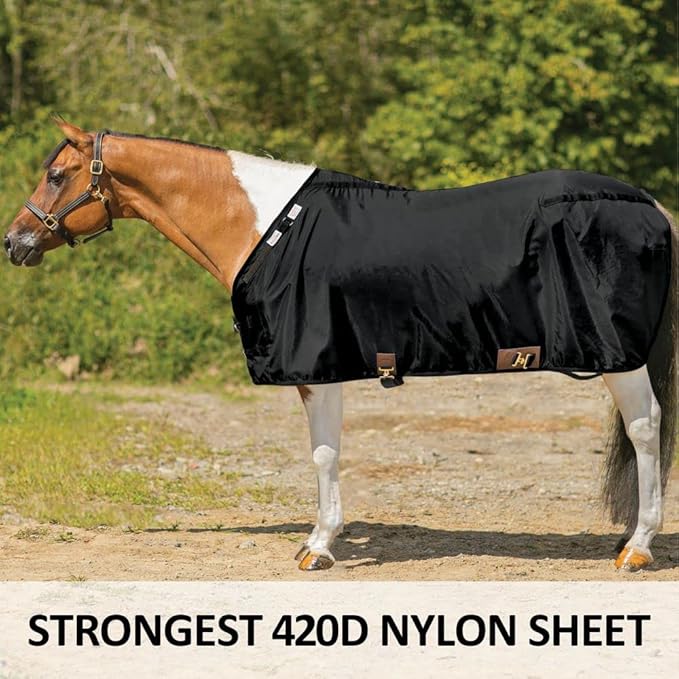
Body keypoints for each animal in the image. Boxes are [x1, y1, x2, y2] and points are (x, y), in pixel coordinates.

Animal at [4, 118, 676, 572]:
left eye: (57, 174)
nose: (14, 241)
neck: (266, 226)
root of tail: (648, 205)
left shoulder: (315, 366)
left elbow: (324, 454)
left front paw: (318, 546)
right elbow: (326, 451)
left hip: (622, 358)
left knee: (646, 429)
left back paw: (638, 549)